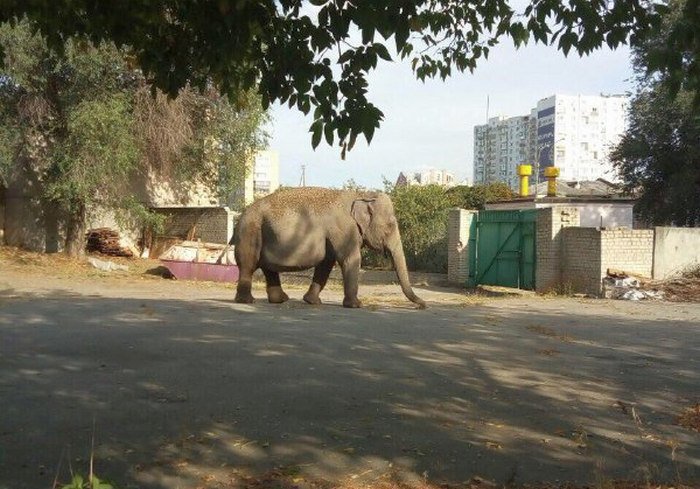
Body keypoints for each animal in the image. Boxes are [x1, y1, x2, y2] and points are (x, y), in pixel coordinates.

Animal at [231, 188, 426, 308]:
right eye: (390, 227)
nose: (423, 305)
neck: (362, 194)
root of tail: (241, 217)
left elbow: (325, 265)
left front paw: (312, 301)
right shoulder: (344, 229)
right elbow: (350, 259)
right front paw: (356, 305)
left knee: (268, 269)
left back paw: (280, 300)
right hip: (250, 232)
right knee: (249, 265)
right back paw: (246, 301)